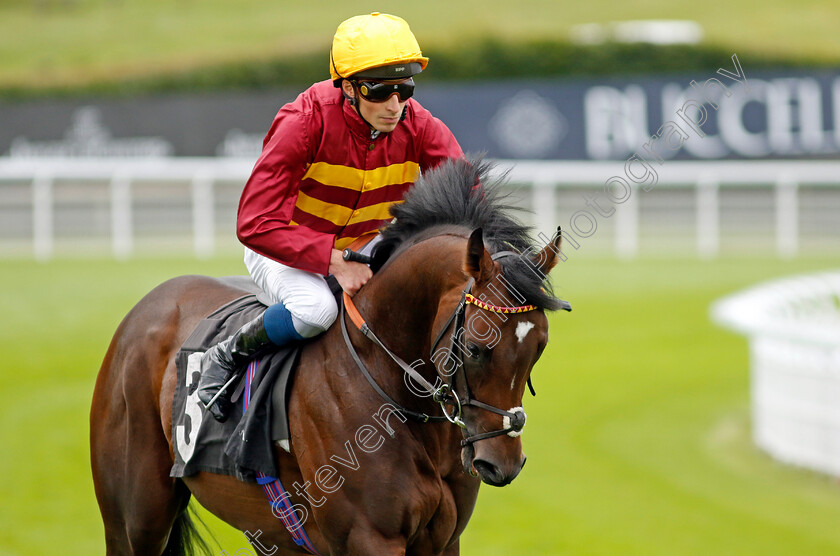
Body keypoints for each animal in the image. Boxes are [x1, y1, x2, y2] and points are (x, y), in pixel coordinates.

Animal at [88, 159, 568, 552]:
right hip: (134, 519)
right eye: (476, 347)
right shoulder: (369, 538)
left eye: (539, 348)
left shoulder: (443, 539)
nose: (502, 463)